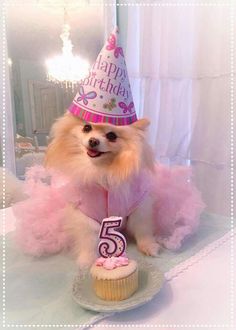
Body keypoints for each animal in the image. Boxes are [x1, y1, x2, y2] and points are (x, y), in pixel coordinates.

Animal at [45, 112, 160, 266]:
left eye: (112, 136)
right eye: (86, 128)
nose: (93, 141)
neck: (103, 171)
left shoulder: (139, 208)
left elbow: (143, 229)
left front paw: (149, 246)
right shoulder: (85, 214)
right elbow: (89, 238)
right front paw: (87, 260)